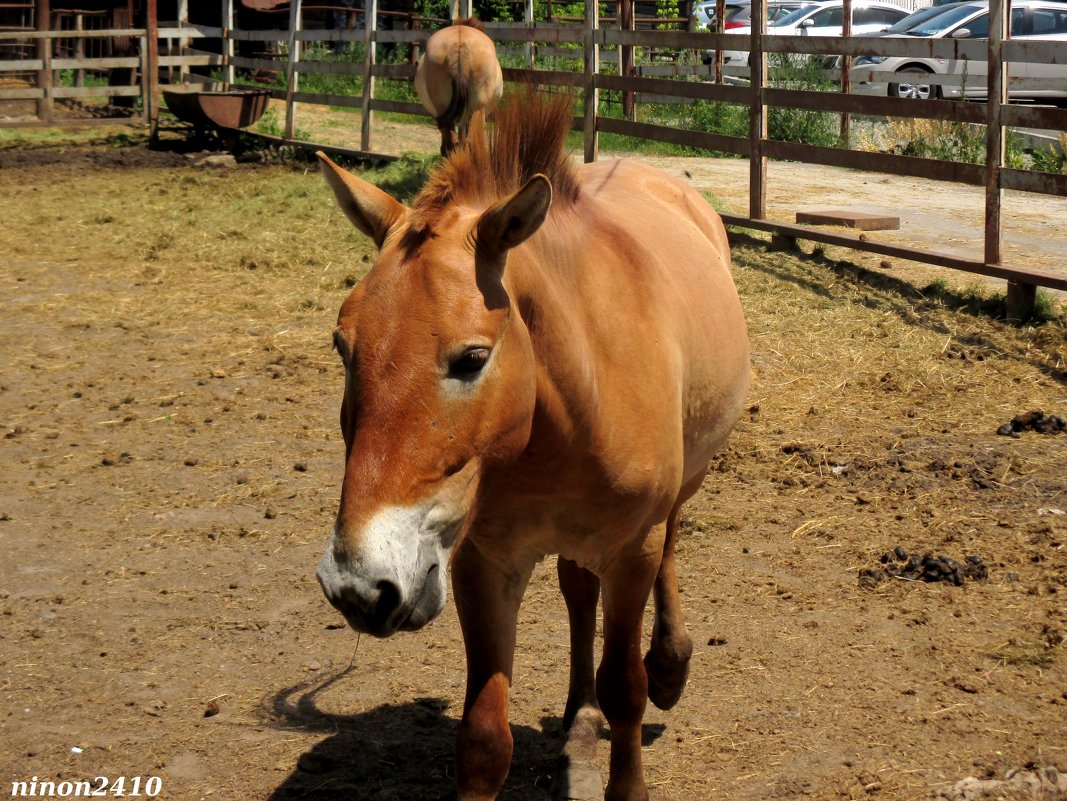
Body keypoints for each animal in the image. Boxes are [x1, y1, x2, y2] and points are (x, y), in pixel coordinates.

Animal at [313, 89, 751, 801]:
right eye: (343, 348)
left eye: (471, 359)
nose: (359, 586)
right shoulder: (483, 562)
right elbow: (484, 737)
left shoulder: (630, 553)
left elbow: (625, 688)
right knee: (577, 593)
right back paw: (579, 720)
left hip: (682, 485)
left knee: (670, 549)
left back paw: (670, 664)